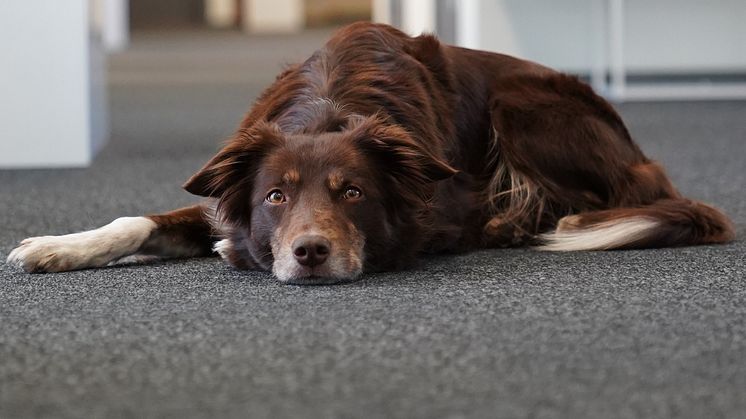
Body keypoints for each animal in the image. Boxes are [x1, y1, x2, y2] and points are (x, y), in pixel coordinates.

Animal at [5, 22, 732, 286]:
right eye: (276, 196)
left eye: (352, 192)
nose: (310, 253)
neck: (329, 103)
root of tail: (637, 149)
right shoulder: (219, 200)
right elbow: (136, 221)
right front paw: (54, 247)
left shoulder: (444, 208)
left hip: (520, 105)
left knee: (608, 197)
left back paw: (525, 221)